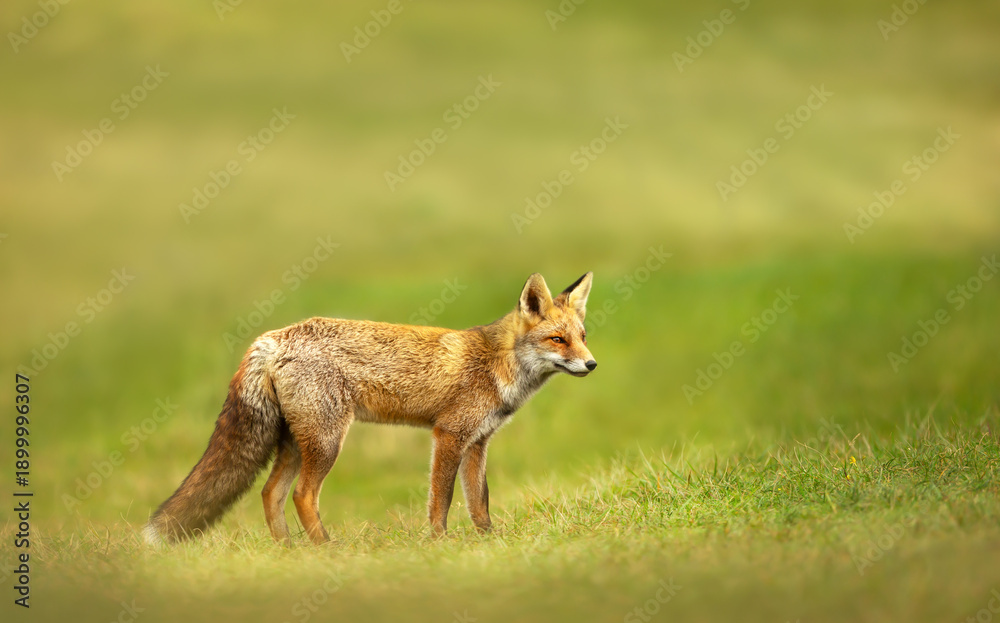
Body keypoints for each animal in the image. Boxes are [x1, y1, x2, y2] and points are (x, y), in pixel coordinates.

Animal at [143, 271, 597, 546]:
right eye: (557, 339)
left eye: (583, 336)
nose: (592, 365)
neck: (496, 364)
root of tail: (271, 337)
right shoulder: (449, 435)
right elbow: (442, 498)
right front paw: (439, 544)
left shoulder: (478, 442)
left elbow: (479, 501)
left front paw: (488, 542)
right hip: (326, 441)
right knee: (303, 495)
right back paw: (325, 549)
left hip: (295, 442)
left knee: (271, 493)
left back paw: (288, 550)